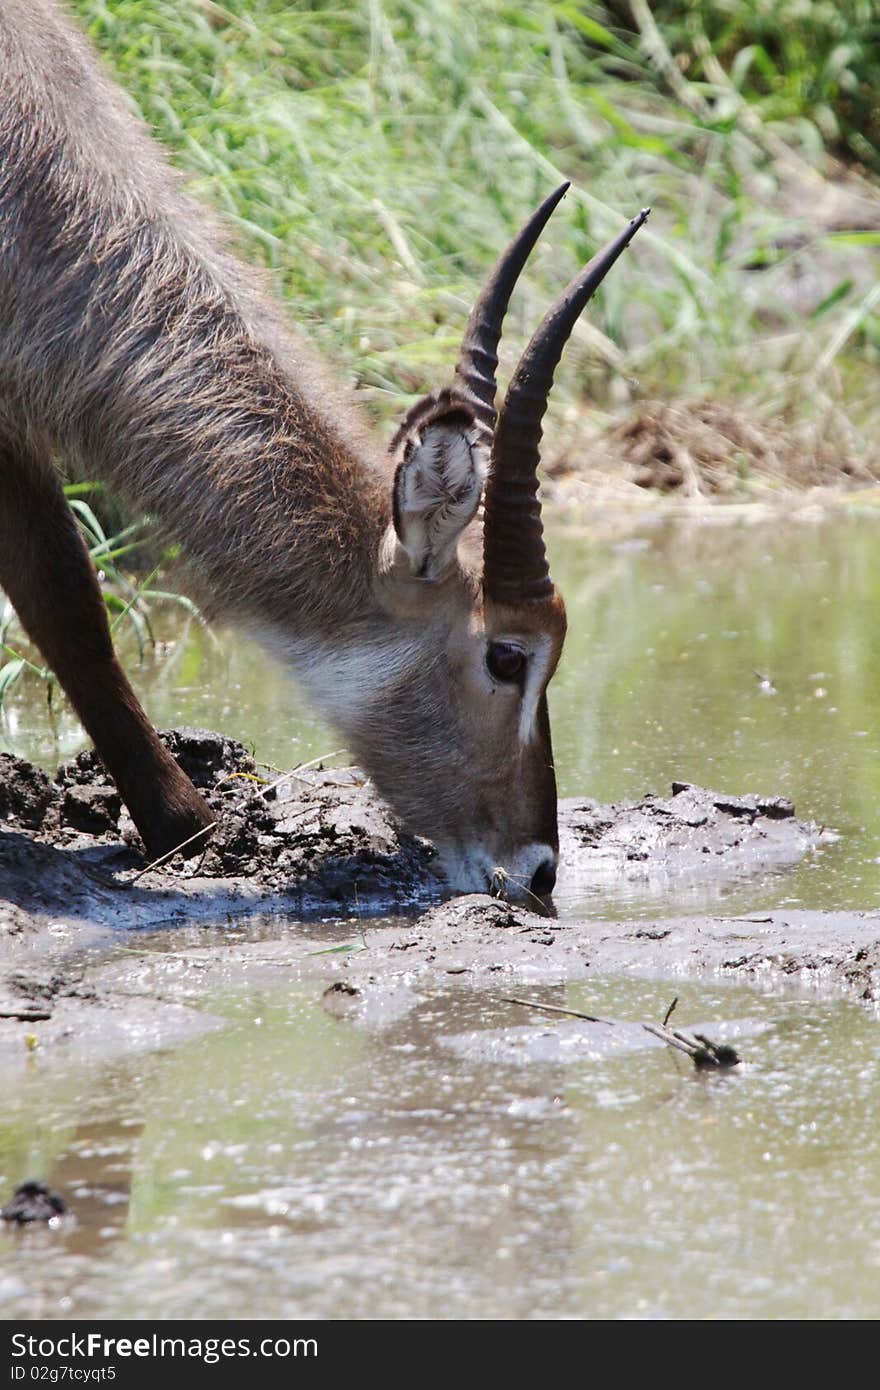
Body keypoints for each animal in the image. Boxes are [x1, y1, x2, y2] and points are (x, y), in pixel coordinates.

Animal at [0, 2, 645, 900]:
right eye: (506, 655)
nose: (539, 870)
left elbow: (59, 592)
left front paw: (178, 824)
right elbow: (64, 600)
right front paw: (189, 825)